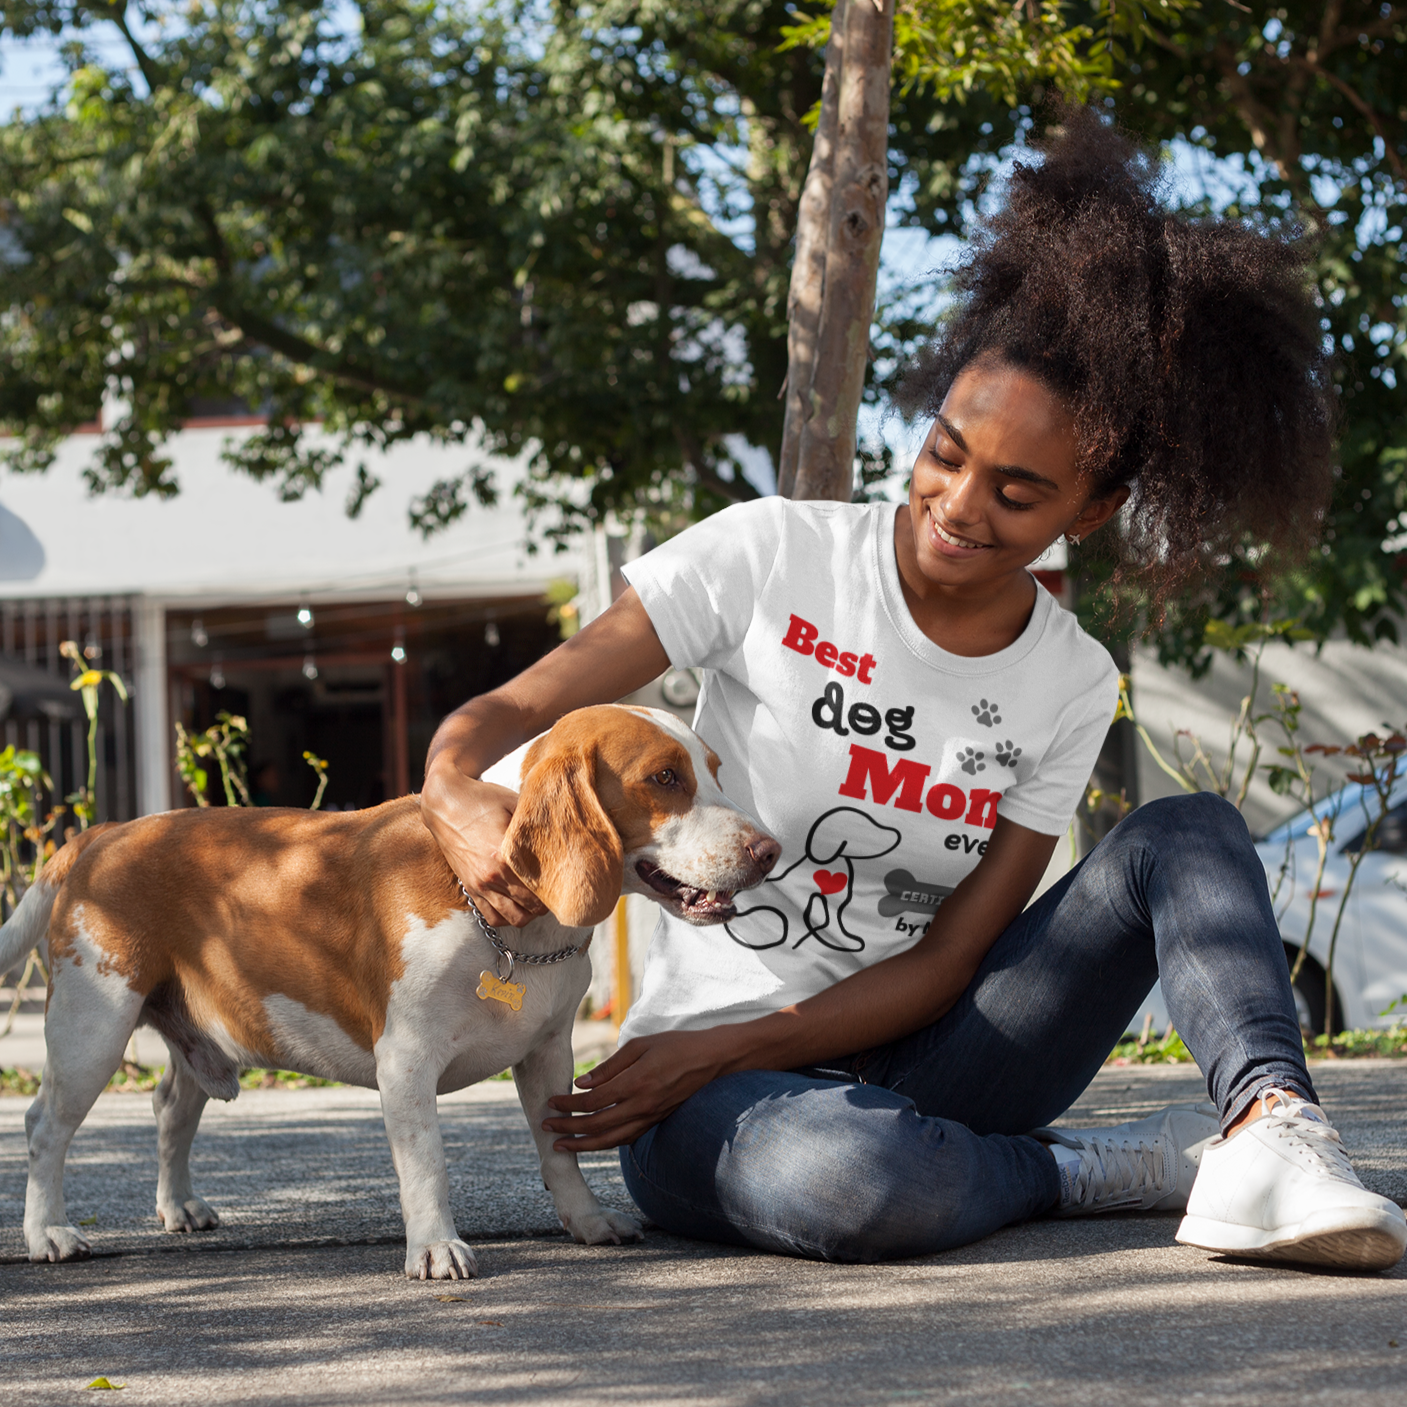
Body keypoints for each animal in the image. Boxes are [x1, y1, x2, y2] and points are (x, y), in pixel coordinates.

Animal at [0, 709, 776, 1283]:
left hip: (198, 1030)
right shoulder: (405, 1062)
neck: (508, 917)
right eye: (665, 778)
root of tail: (105, 834)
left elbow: (559, 1150)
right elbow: (426, 1163)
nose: (768, 850)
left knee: (169, 1108)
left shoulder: (549, 1055)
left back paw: (179, 1205)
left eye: (714, 771)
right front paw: (434, 1248)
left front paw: (585, 1221)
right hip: (92, 1028)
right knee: (43, 1127)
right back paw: (47, 1232)